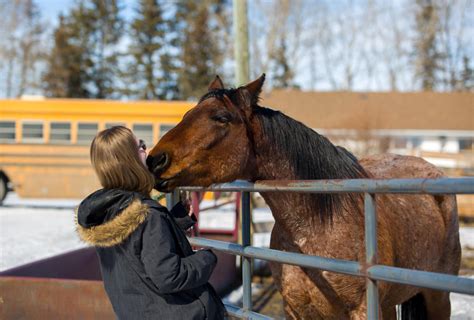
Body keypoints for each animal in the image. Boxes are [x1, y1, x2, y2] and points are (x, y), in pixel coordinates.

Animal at [147, 75, 460, 320]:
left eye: (222, 118)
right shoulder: (296, 310)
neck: (319, 226)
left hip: (437, 298)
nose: (155, 160)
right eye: (187, 115)